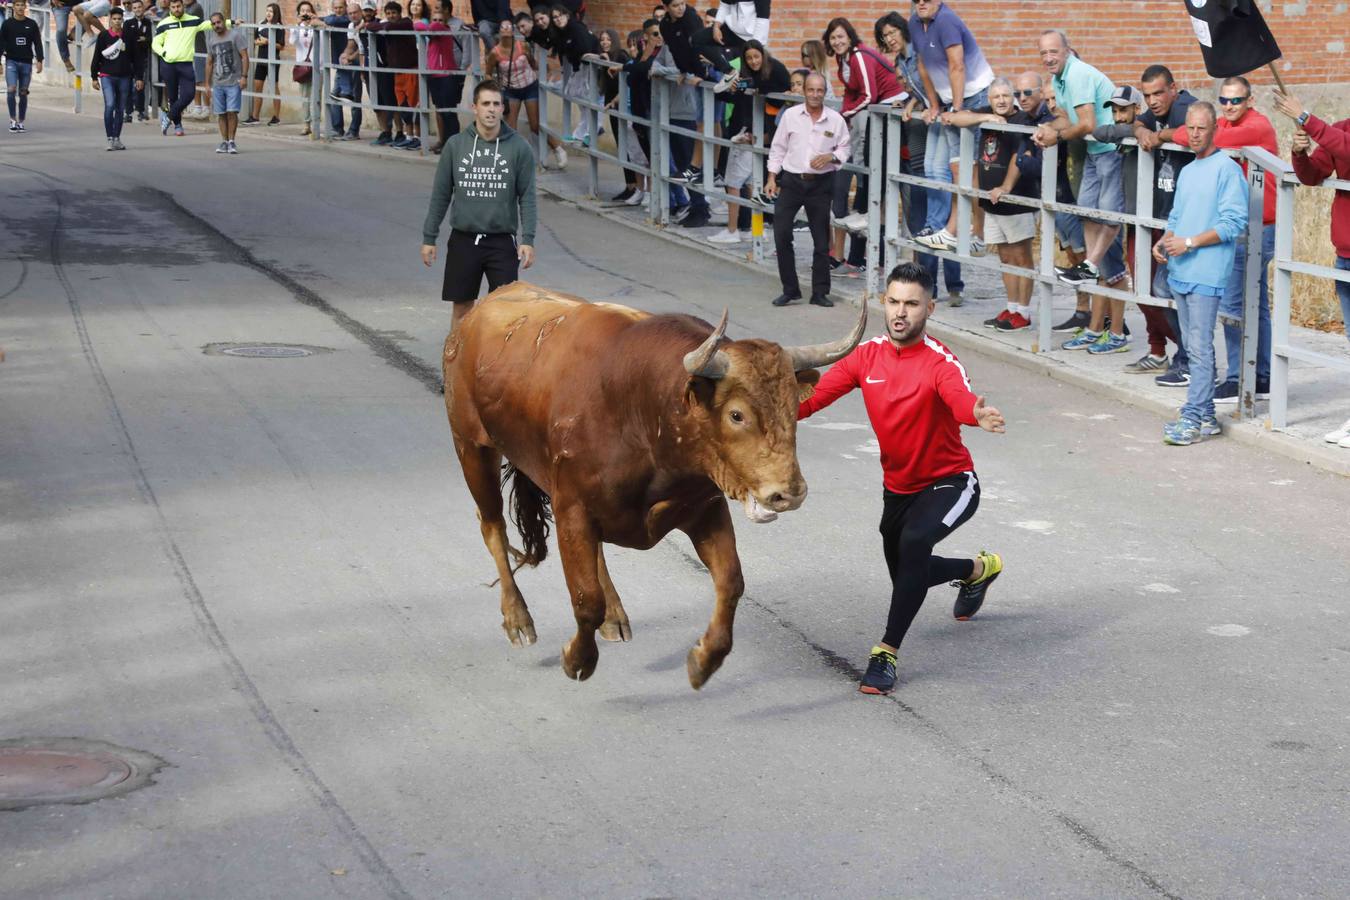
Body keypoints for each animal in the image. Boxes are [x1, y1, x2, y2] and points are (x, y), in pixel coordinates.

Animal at [442, 283, 864, 690]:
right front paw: (578, 660)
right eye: (736, 414)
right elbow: (585, 599)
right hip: (472, 446)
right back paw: (518, 619)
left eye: (793, 408)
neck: (642, 406)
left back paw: (614, 616)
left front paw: (704, 660)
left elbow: (731, 581)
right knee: (492, 526)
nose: (789, 492)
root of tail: (480, 311)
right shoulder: (573, 509)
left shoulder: (705, 508)